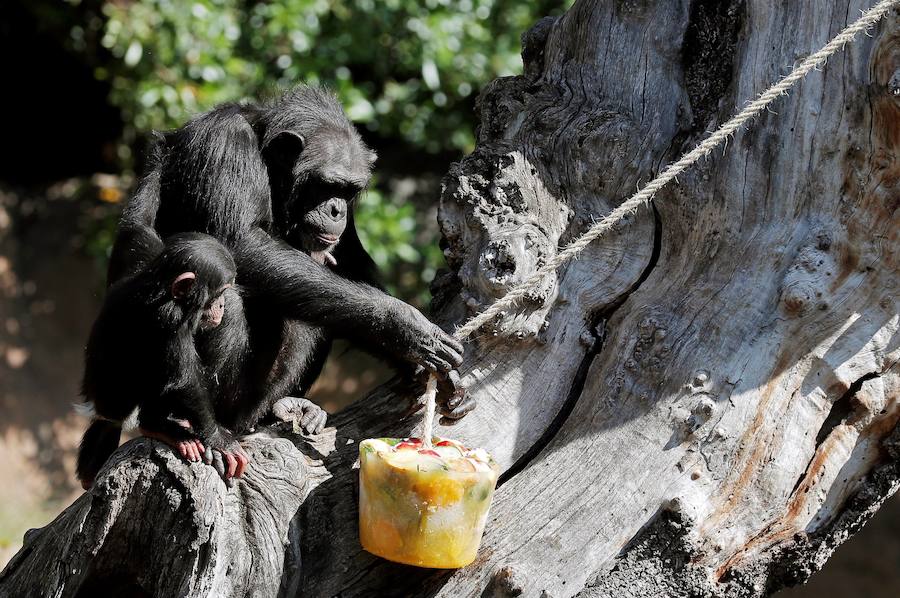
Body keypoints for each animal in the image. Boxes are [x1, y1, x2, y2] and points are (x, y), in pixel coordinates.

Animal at [75, 232, 246, 490]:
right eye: (220, 291)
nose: (222, 304)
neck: (162, 290)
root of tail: (101, 411)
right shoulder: (168, 318)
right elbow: (184, 381)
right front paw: (220, 440)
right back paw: (162, 428)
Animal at [107, 85, 472, 478]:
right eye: (327, 185)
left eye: (349, 190)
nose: (336, 210)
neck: (269, 165)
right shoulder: (224, 144)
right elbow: (241, 242)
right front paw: (404, 324)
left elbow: (352, 265)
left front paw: (423, 365)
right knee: (227, 302)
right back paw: (183, 422)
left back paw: (286, 407)